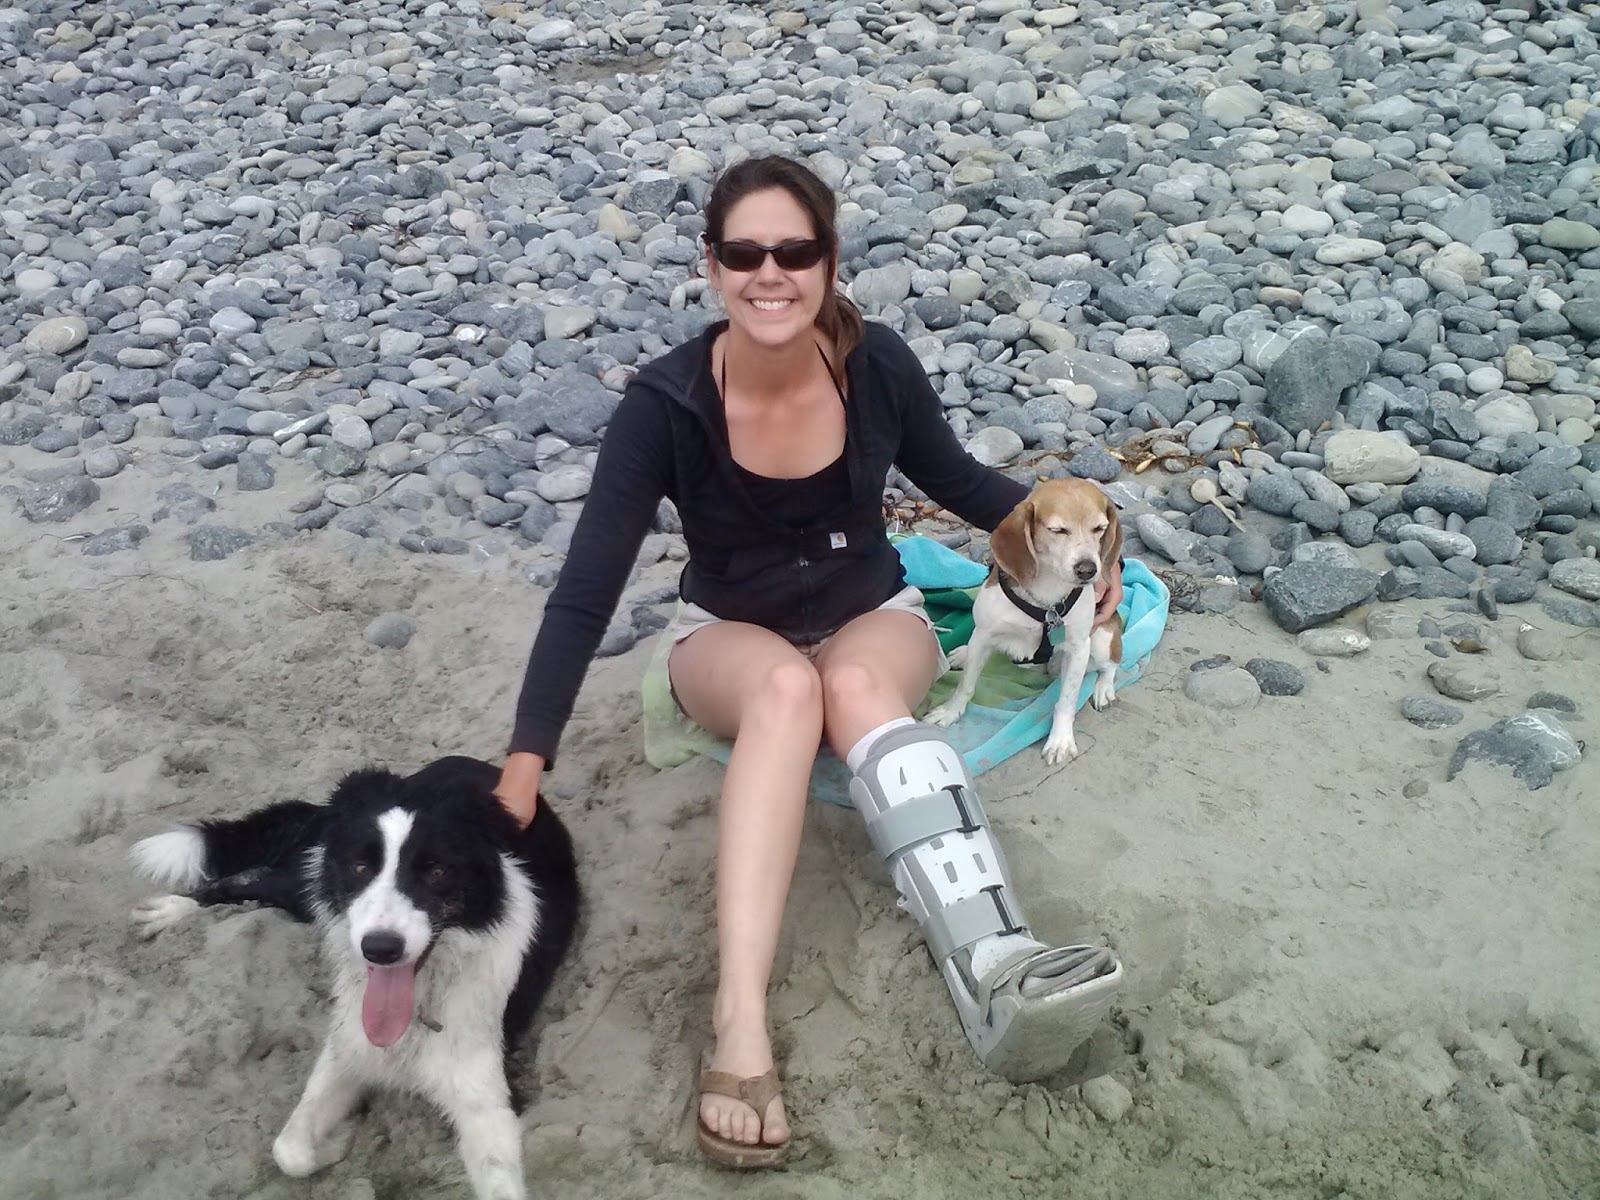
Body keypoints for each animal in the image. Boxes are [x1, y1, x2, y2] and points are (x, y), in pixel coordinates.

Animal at [130, 755, 579, 1200]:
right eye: (360, 867)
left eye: (437, 871)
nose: (380, 948)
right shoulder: (346, 1048)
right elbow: (289, 1149)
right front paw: (338, 1142)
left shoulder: (487, 1101)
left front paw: (337, 1140)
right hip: (307, 885)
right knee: (246, 878)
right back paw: (173, 910)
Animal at [925, 478, 1124, 765]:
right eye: (1058, 530)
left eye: (1099, 528)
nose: (1088, 570)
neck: (1047, 599)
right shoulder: (984, 635)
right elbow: (966, 685)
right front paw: (951, 712)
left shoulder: (1078, 648)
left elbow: (1066, 701)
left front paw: (1060, 741)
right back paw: (964, 653)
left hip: (1100, 641)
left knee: (1111, 665)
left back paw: (1103, 688)